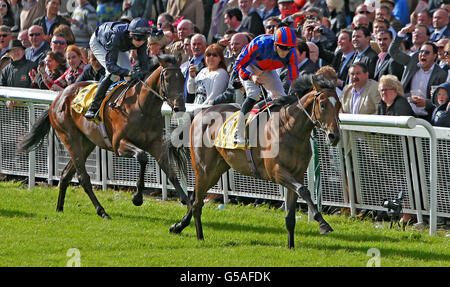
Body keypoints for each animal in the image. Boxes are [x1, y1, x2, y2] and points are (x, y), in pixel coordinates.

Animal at [17, 55, 190, 219]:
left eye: (183, 78)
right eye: (167, 79)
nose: (179, 107)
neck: (143, 108)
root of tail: (57, 98)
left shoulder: (156, 145)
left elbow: (171, 172)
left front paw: (186, 204)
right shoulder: (118, 144)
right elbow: (142, 157)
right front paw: (137, 197)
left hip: (87, 143)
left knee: (66, 174)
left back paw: (60, 208)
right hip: (70, 138)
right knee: (83, 177)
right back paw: (102, 211)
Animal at [170, 75, 342, 250]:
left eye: (339, 105)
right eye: (322, 105)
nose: (334, 136)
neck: (290, 128)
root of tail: (201, 112)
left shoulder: (297, 174)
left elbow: (291, 214)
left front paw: (291, 246)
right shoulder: (276, 171)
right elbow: (304, 190)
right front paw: (323, 224)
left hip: (217, 169)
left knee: (195, 199)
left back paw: (178, 227)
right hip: (203, 168)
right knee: (197, 202)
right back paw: (199, 236)